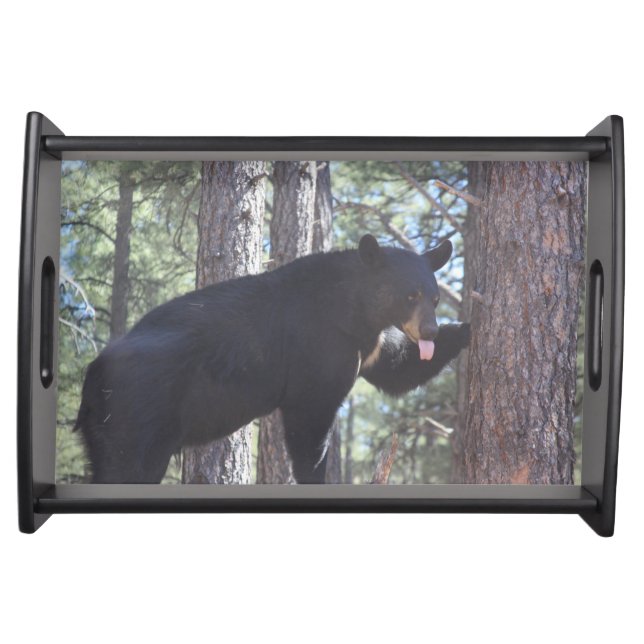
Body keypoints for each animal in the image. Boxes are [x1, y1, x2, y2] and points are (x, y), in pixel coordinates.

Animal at [75, 234, 470, 484]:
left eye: (434, 298)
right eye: (409, 295)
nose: (430, 331)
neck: (354, 311)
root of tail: (91, 374)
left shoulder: (367, 344)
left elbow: (396, 369)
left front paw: (466, 328)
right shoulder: (319, 345)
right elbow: (310, 417)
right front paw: (314, 475)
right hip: (136, 413)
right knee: (126, 468)